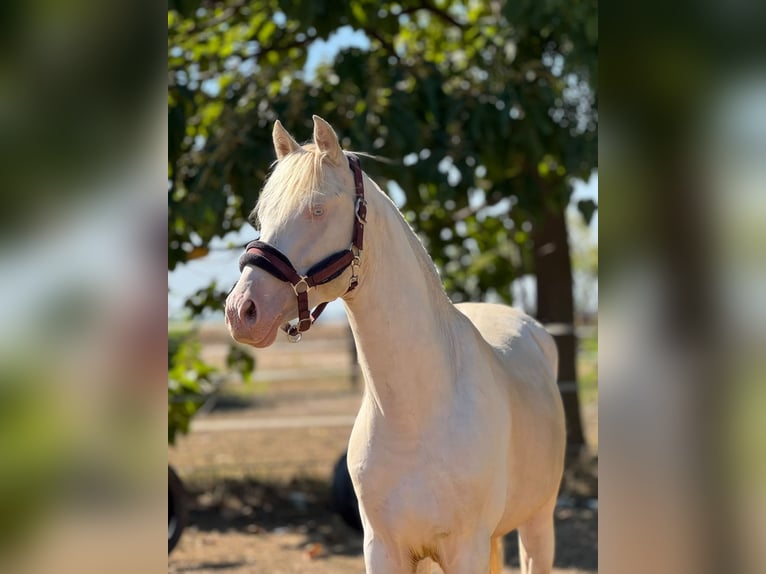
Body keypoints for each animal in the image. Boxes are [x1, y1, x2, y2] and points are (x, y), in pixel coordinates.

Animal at [225, 115, 566, 574]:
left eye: (317, 209)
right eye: (262, 216)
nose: (241, 311)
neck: (416, 414)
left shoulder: (467, 549)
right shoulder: (383, 548)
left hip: (537, 524)